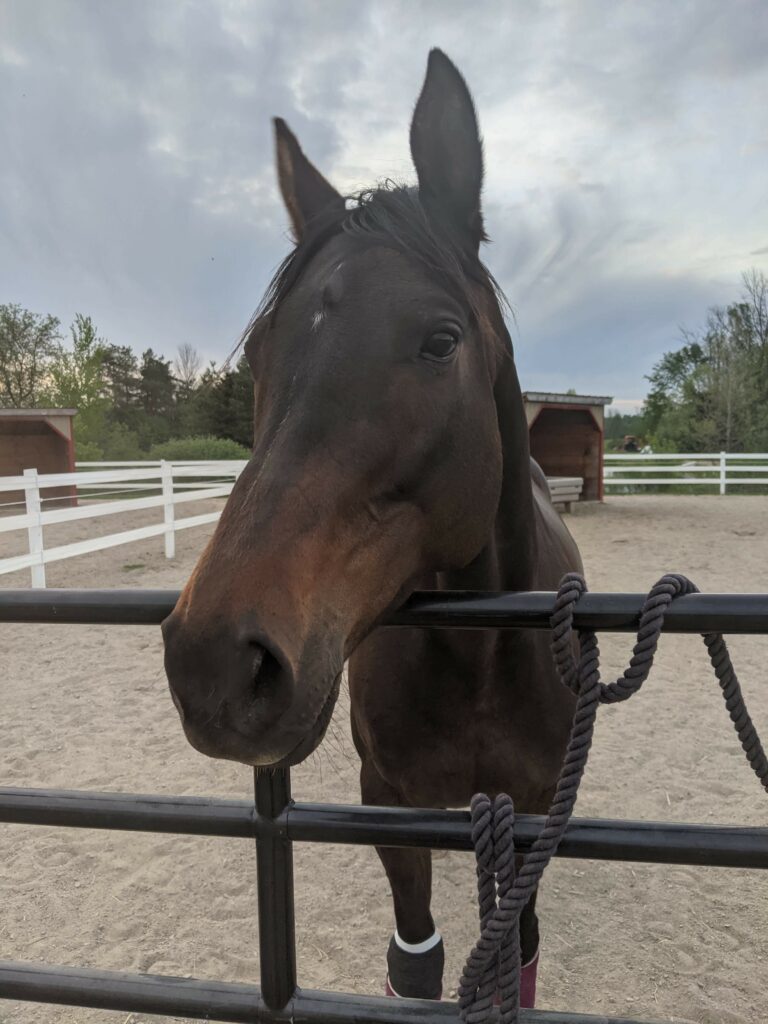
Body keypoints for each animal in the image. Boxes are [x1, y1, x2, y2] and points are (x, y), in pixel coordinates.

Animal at [162, 49, 581, 1007]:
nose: (215, 663)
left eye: (440, 340)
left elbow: (520, 957)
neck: (481, 653)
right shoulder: (390, 802)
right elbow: (414, 965)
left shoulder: (536, 807)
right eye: (259, 353)